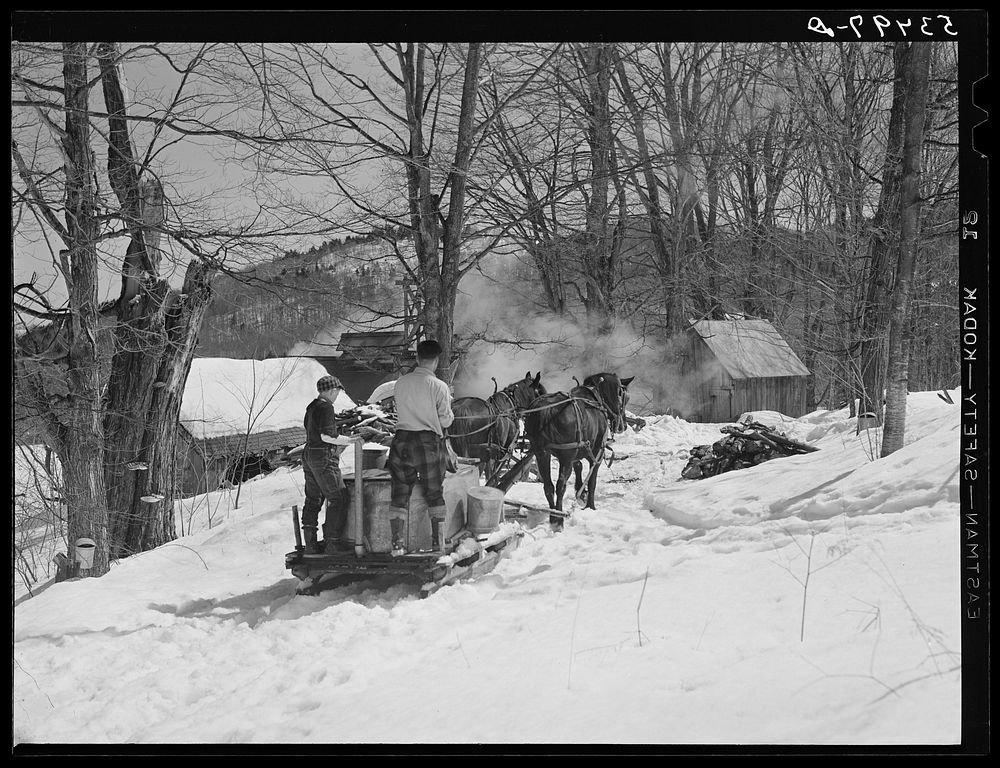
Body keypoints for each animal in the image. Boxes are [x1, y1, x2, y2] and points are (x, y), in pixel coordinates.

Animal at [524, 372, 632, 510]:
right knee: (561, 485)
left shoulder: (578, 451)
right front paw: (590, 505)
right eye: (625, 397)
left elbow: (578, 466)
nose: (623, 425)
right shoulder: (596, 453)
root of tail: (547, 410)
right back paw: (559, 512)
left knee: (548, 486)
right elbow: (592, 480)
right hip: (566, 455)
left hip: (541, 453)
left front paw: (581, 493)